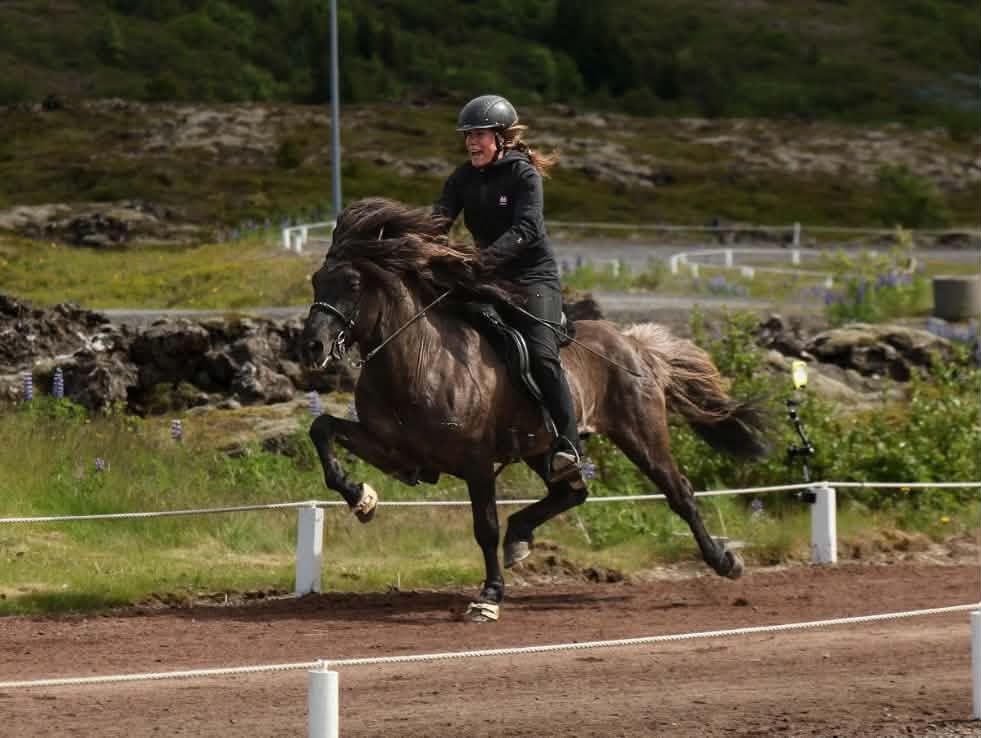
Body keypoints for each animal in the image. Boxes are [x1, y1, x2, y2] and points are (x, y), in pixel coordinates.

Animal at [300, 197, 770, 622]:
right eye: (316, 281)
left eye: (353, 283)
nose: (312, 347)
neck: (417, 360)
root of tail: (635, 345)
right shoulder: (396, 450)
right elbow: (322, 429)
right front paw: (361, 498)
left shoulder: (475, 460)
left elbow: (485, 526)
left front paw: (489, 597)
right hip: (541, 447)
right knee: (571, 492)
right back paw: (521, 536)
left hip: (641, 435)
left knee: (680, 493)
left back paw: (725, 562)